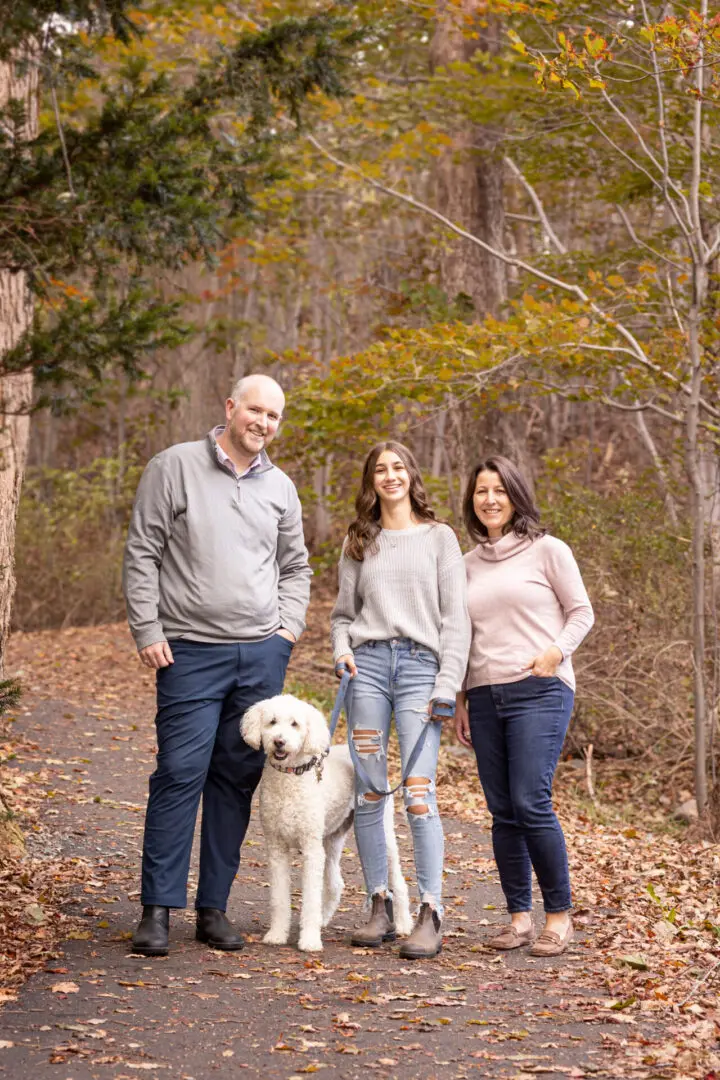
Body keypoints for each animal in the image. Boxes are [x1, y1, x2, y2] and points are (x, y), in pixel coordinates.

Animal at [243, 695, 408, 950]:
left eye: (295, 724)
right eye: (272, 721)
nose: (279, 742)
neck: (291, 776)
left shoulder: (311, 848)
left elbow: (310, 898)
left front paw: (309, 940)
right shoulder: (277, 847)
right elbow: (279, 898)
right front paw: (277, 934)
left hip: (383, 833)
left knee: (398, 881)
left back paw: (404, 924)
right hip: (332, 839)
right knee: (335, 882)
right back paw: (323, 918)